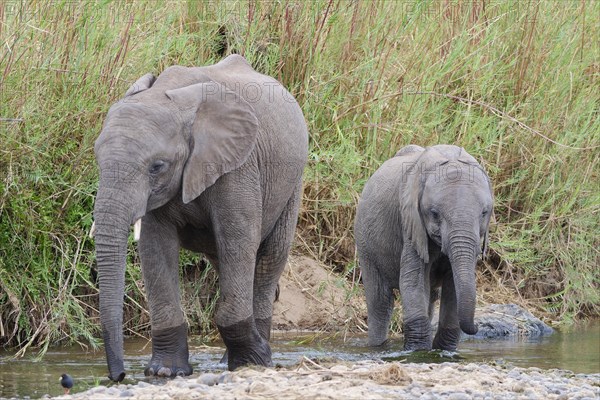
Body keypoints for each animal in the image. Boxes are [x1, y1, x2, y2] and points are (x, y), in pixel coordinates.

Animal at [94, 54, 310, 382]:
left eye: (157, 167)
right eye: (97, 159)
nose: (117, 376)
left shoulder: (239, 166)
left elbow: (238, 238)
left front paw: (254, 361)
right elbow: (155, 248)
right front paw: (165, 371)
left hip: (292, 182)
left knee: (268, 258)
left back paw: (256, 357)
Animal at [356, 145, 492, 352]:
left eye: (484, 213)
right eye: (434, 214)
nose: (477, 326)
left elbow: (452, 286)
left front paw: (444, 351)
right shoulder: (411, 224)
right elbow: (412, 281)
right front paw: (418, 351)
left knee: (431, 297)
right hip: (365, 243)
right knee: (380, 301)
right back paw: (378, 347)